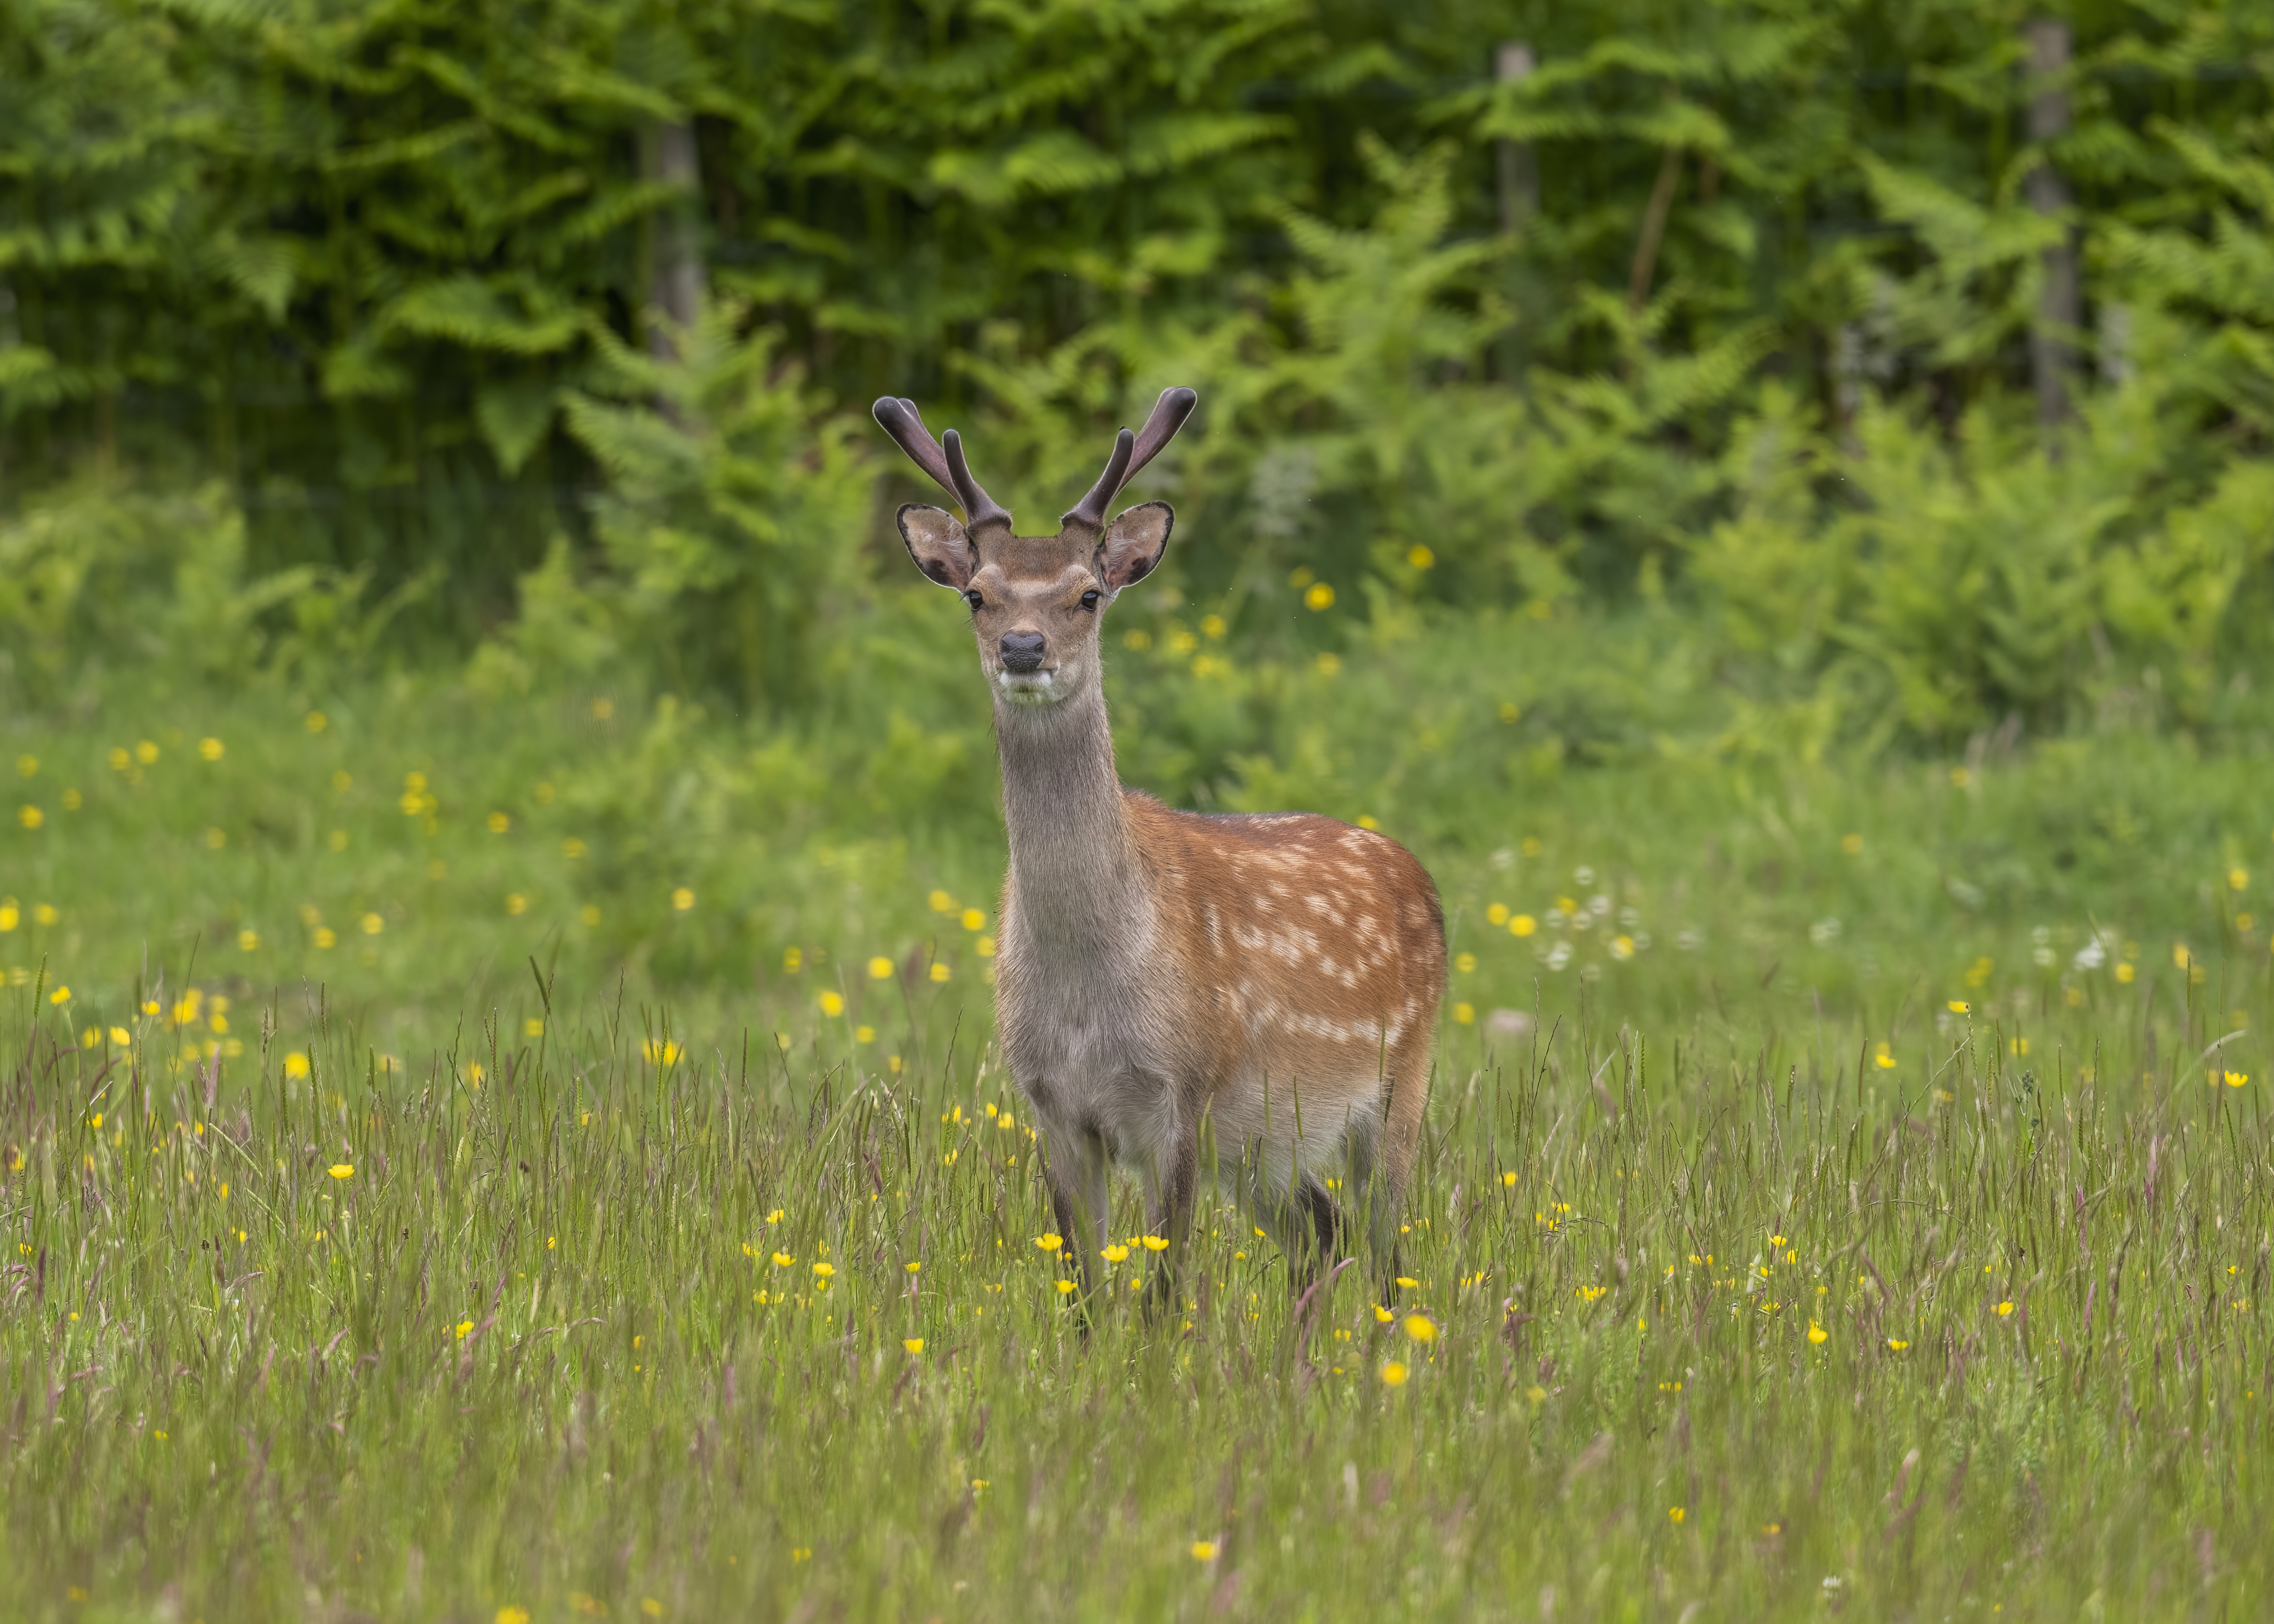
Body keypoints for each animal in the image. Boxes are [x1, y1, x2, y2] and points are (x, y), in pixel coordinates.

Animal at [873, 388, 1446, 1312]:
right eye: (976, 595)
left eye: (1088, 593)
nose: (1023, 648)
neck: (1089, 994)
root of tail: (1417, 873)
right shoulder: (1051, 1106)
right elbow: (1080, 1287)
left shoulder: (1182, 1092)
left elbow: (1164, 1291)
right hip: (1261, 1145)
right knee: (1323, 1232)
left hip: (1400, 1085)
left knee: (1391, 1248)